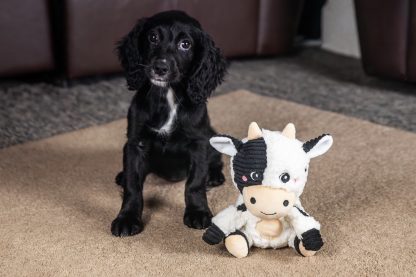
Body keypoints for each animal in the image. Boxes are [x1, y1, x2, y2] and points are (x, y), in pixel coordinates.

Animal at [111, 10, 228, 235]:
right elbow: (133, 185)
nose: (160, 67)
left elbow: (195, 183)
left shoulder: (199, 143)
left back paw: (214, 175)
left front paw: (198, 212)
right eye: (153, 37)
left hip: (211, 135)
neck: (167, 95)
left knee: (216, 158)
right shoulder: (135, 143)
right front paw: (127, 218)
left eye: (185, 44)